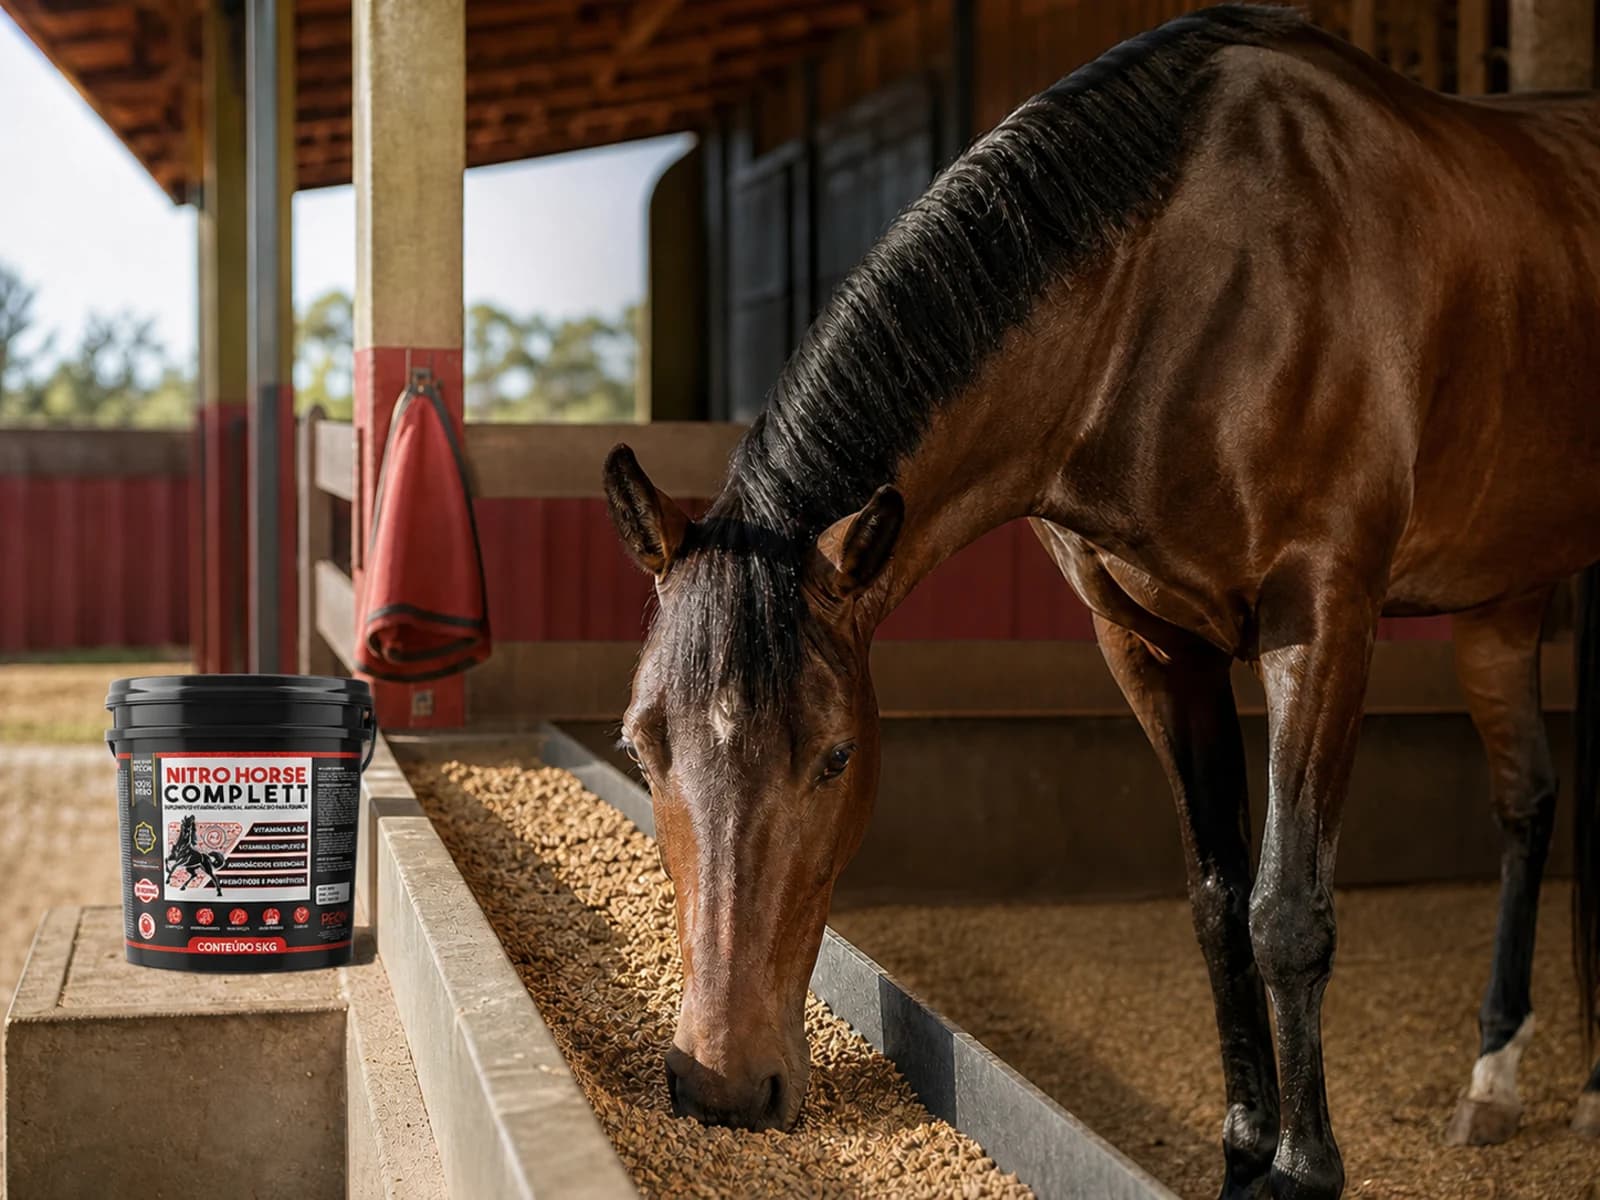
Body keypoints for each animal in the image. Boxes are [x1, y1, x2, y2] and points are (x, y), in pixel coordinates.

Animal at [601, 7, 1600, 1197]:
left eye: (836, 756)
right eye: (640, 747)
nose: (719, 1084)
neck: (1179, 296)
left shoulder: (1322, 618)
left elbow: (1286, 912)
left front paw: (1303, 1169)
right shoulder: (1152, 646)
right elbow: (1217, 904)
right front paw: (1244, 1153)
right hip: (1508, 591)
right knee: (1534, 799)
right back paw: (1507, 1080)